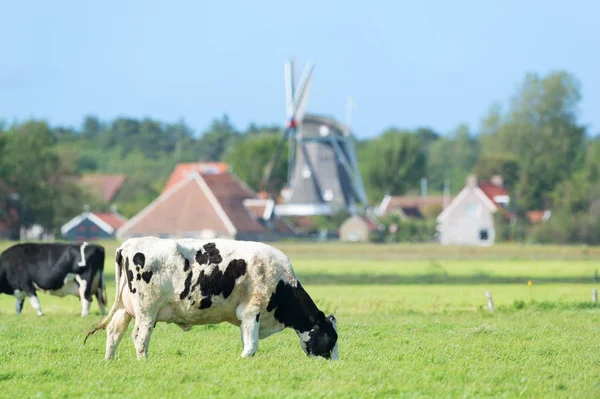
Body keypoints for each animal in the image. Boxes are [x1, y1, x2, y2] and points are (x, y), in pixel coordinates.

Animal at [85, 238, 340, 362]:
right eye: (332, 339)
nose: (334, 364)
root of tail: (128, 245)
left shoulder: (244, 316)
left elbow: (247, 343)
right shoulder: (251, 311)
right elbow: (251, 347)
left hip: (124, 309)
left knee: (114, 333)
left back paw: (109, 361)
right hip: (146, 309)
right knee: (139, 337)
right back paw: (143, 362)